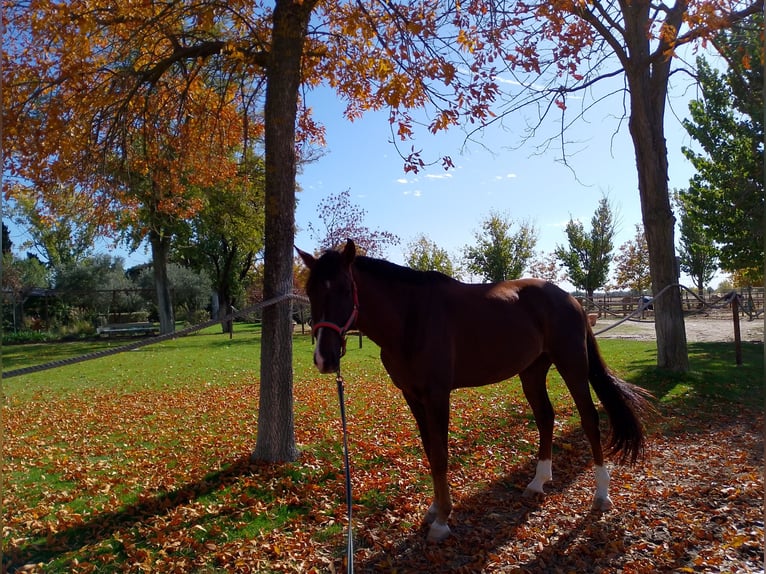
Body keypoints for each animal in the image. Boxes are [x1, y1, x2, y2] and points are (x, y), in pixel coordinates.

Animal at [297, 239, 652, 543]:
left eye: (345, 289)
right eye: (310, 291)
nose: (324, 358)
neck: (412, 318)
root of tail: (570, 299)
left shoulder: (437, 395)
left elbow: (441, 455)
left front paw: (442, 521)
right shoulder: (412, 396)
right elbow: (430, 451)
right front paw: (434, 509)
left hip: (573, 366)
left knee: (589, 420)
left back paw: (601, 495)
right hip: (532, 371)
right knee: (545, 418)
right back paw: (538, 482)